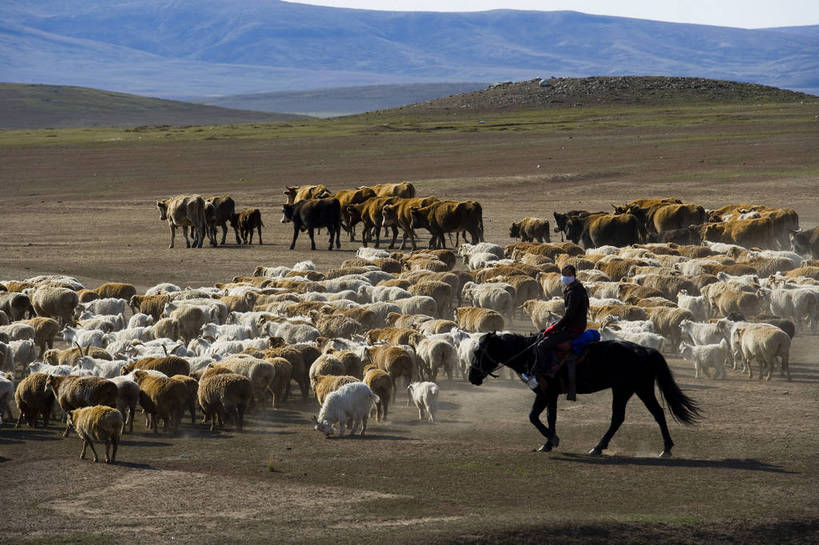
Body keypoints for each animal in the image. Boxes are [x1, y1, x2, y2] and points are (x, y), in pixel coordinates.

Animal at [470, 332, 700, 454]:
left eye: (478, 351)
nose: (472, 377)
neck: (531, 354)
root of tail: (645, 350)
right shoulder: (550, 395)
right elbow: (549, 417)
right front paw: (548, 443)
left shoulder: (544, 392)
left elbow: (533, 416)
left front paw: (552, 440)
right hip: (635, 390)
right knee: (653, 413)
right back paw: (665, 447)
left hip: (627, 390)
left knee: (624, 416)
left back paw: (600, 447)